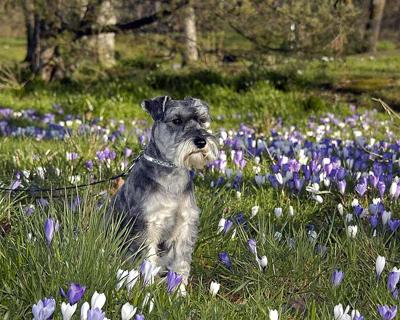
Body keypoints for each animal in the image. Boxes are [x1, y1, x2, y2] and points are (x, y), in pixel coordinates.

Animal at [111, 95, 219, 288]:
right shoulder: (149, 226)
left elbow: (181, 263)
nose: (201, 141)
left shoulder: (185, 226)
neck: (171, 173)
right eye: (176, 120)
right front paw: (147, 288)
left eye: (201, 120)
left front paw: (178, 290)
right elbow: (148, 260)